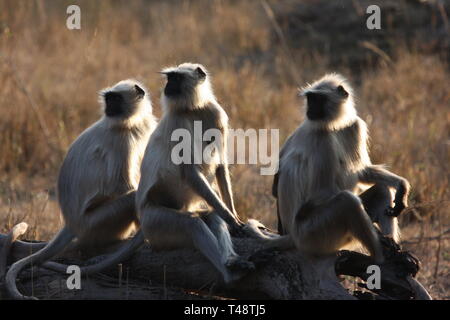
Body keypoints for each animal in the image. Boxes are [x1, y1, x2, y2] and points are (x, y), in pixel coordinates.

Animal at [5, 79, 158, 298]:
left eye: (115, 99)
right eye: (109, 99)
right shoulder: (121, 138)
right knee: (131, 198)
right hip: (94, 223)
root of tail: (71, 223)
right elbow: (122, 185)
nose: (109, 107)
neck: (135, 121)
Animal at [135, 62, 255, 282]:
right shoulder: (176, 122)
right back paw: (230, 275)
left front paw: (232, 215)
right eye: (169, 78)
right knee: (193, 225)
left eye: (175, 78)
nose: (167, 86)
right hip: (154, 222)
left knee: (211, 216)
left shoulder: (216, 114)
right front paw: (231, 219)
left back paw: (232, 260)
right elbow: (189, 171)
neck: (193, 108)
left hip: (181, 210)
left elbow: (220, 164)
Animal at [268, 73, 410, 262]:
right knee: (347, 201)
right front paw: (380, 237)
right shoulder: (322, 138)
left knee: (381, 190)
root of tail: (290, 235)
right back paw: (379, 256)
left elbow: (362, 171)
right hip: (311, 234)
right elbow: (321, 192)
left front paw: (402, 185)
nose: (310, 109)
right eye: (310, 99)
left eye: (318, 99)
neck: (334, 125)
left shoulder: (355, 125)